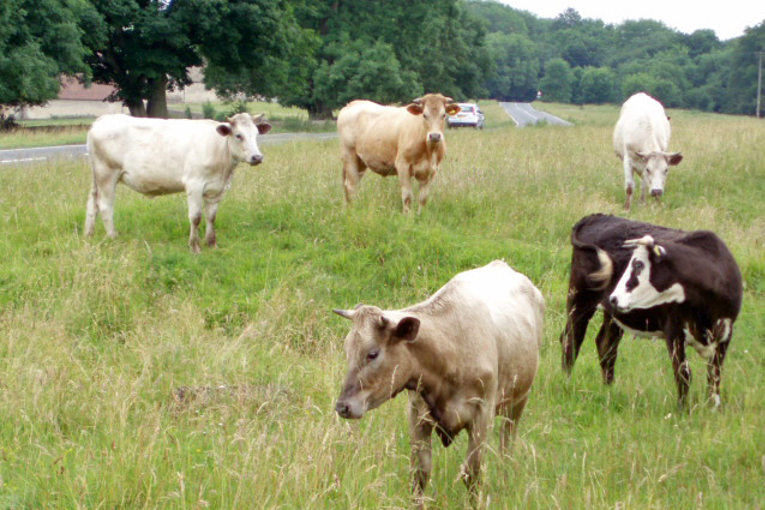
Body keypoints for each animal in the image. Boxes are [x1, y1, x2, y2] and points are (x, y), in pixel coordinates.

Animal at [83, 112, 272, 253]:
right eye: (239, 135)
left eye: (256, 134)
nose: (257, 157)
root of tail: (102, 119)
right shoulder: (194, 184)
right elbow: (196, 217)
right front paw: (194, 246)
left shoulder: (217, 189)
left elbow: (211, 216)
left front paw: (212, 244)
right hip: (107, 174)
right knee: (105, 206)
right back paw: (113, 237)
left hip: (96, 176)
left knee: (92, 203)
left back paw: (89, 235)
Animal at [333, 260, 544, 500]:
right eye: (347, 351)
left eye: (372, 353)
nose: (342, 406)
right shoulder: (417, 414)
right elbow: (420, 474)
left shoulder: (482, 414)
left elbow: (472, 474)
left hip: (518, 401)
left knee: (506, 446)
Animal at [559, 214, 743, 408]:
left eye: (638, 265)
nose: (614, 297)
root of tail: (595, 217)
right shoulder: (674, 331)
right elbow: (684, 374)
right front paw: (683, 409)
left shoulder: (725, 334)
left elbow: (714, 375)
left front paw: (713, 407)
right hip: (580, 299)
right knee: (571, 340)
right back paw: (567, 383)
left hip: (613, 314)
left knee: (606, 345)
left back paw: (609, 390)